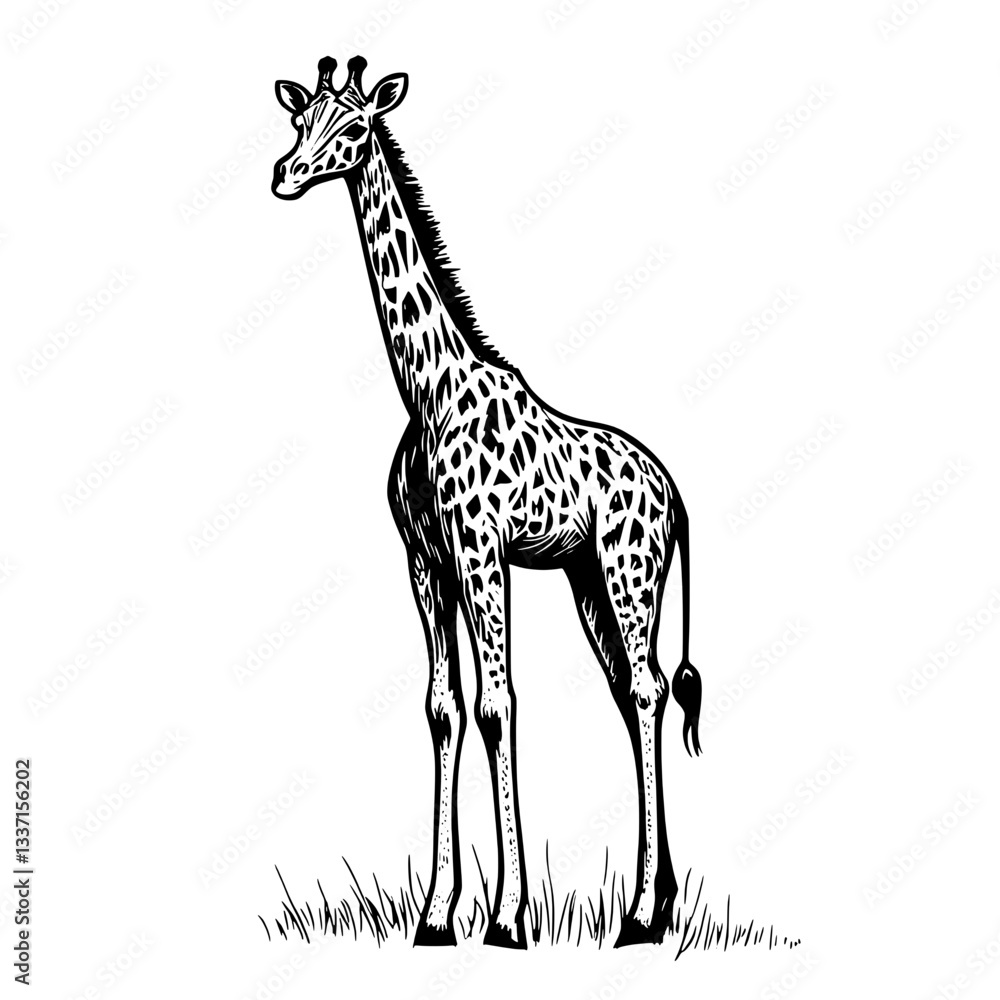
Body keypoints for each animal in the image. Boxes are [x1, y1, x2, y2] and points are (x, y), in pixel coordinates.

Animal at [271, 56, 703, 950]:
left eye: (352, 127)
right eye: (300, 122)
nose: (284, 174)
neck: (428, 388)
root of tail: (675, 494)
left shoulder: (481, 550)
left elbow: (498, 704)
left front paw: (506, 917)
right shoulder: (426, 559)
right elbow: (444, 708)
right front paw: (437, 914)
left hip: (627, 571)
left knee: (647, 691)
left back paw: (638, 913)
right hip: (588, 580)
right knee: (628, 692)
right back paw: (659, 902)